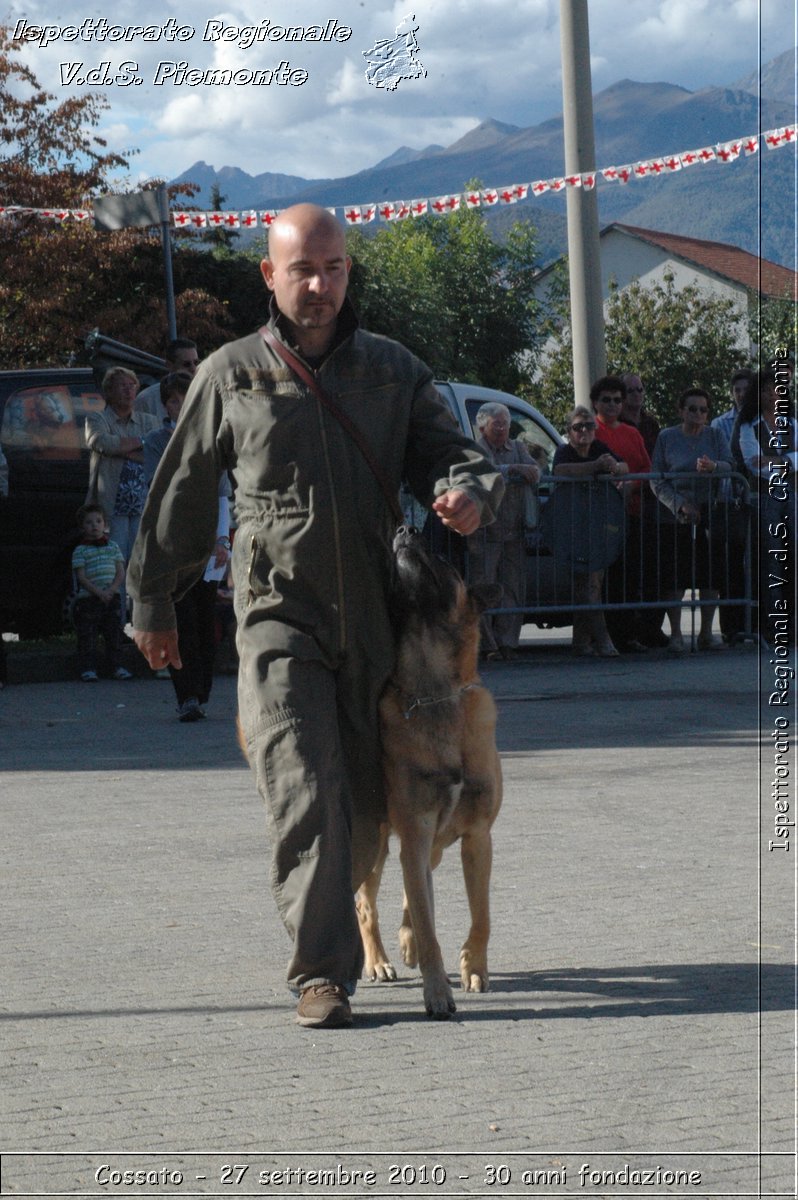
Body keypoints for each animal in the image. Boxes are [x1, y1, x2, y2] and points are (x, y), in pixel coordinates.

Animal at [355, 530, 501, 1017]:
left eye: (443, 557)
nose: (405, 530)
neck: (433, 690)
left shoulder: (477, 838)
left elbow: (481, 915)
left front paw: (474, 966)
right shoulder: (416, 833)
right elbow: (426, 919)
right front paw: (437, 991)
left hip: (428, 846)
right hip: (375, 844)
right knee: (366, 901)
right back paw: (378, 960)